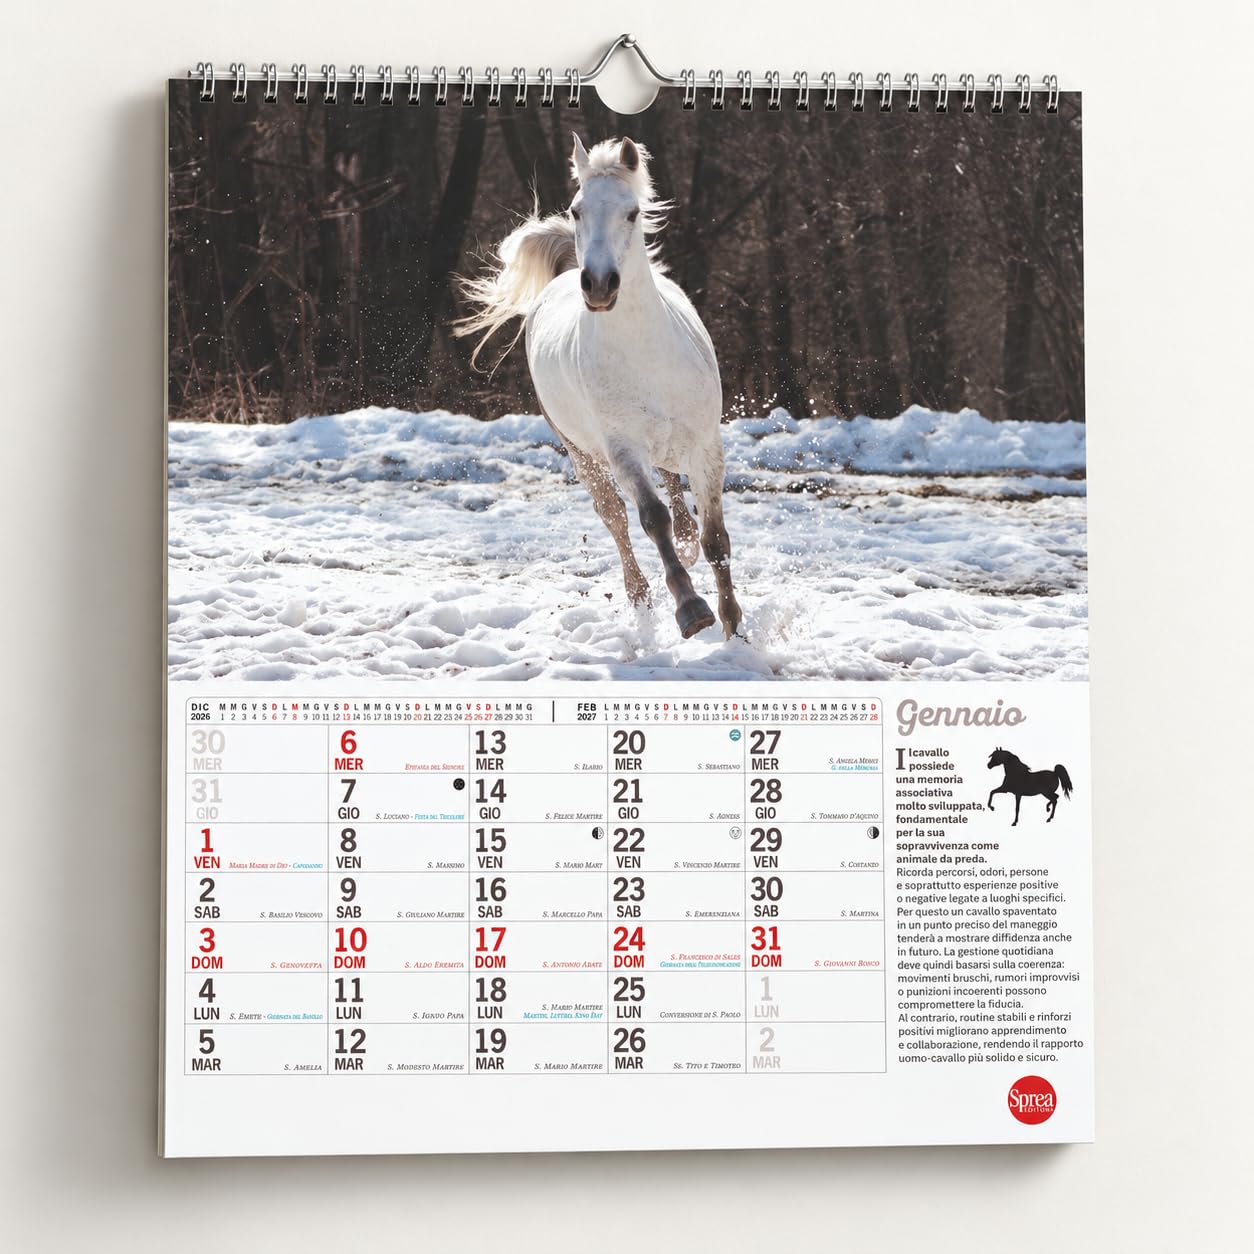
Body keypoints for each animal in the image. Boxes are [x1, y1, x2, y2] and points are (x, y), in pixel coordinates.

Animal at [457, 134, 742, 640]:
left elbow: (715, 538)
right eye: (576, 210)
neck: (645, 351)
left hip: (668, 443)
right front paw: (692, 611)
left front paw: (734, 628)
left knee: (673, 486)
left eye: (632, 212)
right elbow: (650, 518)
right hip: (584, 455)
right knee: (616, 519)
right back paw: (641, 595)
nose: (599, 285)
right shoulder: (621, 449)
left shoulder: (707, 445)